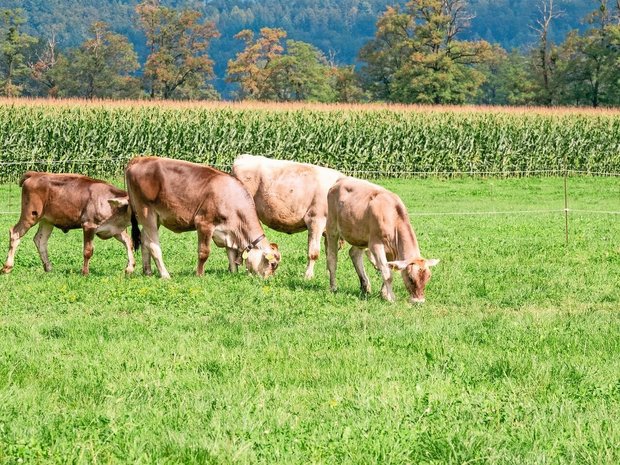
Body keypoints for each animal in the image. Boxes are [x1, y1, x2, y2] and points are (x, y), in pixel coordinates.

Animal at [2, 171, 138, 274]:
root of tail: (36, 173)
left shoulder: (115, 229)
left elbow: (128, 243)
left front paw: (130, 268)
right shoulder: (88, 225)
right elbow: (88, 250)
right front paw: (85, 272)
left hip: (47, 220)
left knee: (40, 239)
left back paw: (48, 267)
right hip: (30, 215)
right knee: (15, 233)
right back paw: (7, 267)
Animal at [124, 156, 280, 280]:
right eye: (272, 264)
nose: (268, 280)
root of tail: (139, 159)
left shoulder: (229, 231)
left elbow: (230, 253)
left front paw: (233, 273)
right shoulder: (204, 223)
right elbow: (204, 252)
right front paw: (199, 274)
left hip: (154, 217)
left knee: (144, 240)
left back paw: (148, 271)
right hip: (146, 212)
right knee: (153, 245)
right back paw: (165, 275)